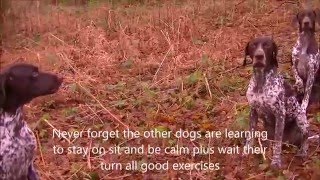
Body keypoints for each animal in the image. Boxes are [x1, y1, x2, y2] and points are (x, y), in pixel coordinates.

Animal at [244, 36, 308, 169]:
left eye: (267, 45)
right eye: (253, 45)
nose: (259, 56)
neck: (261, 82)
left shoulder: (280, 114)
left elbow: (277, 142)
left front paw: (276, 162)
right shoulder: (253, 112)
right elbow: (250, 135)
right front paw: (247, 151)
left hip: (301, 121)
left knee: (306, 137)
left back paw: (303, 152)